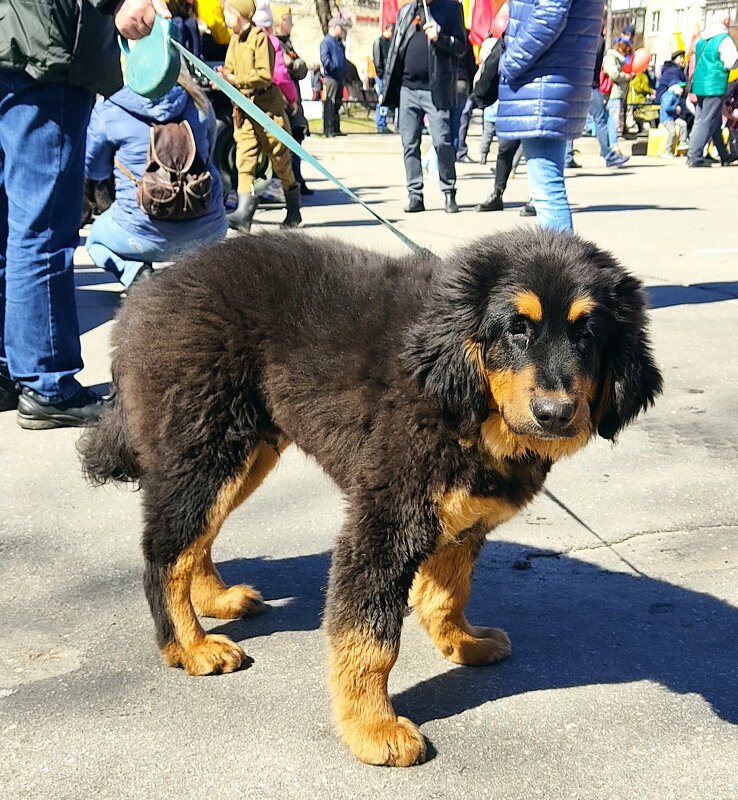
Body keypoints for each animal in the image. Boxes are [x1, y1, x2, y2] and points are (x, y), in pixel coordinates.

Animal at [79, 228, 660, 764]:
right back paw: (191, 646)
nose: (555, 414)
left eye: (588, 335)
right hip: (207, 441)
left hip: (244, 449)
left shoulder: (462, 515)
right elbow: (371, 638)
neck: (466, 402)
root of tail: (148, 294)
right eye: (516, 329)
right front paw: (372, 728)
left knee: (196, 535)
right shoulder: (385, 521)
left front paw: (462, 643)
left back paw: (216, 600)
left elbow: (448, 592)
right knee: (167, 550)